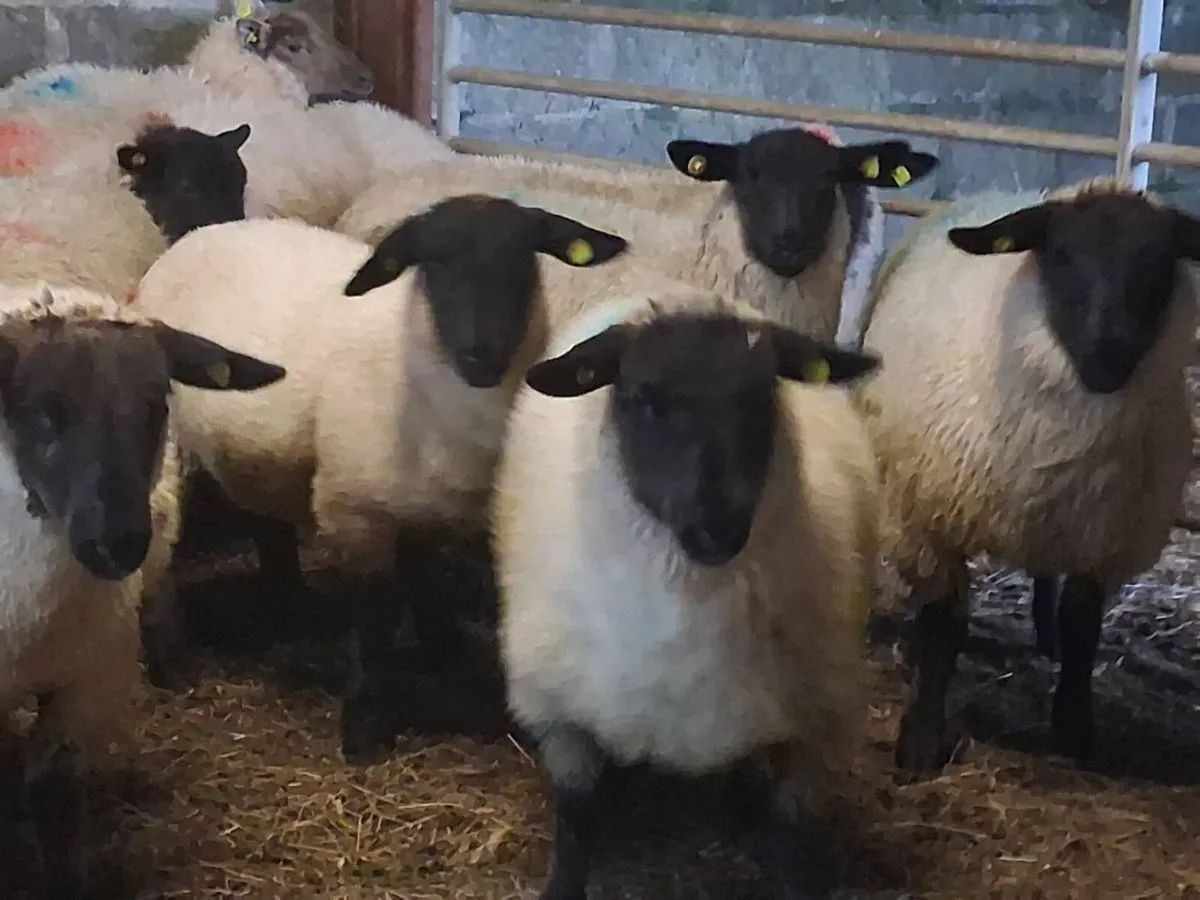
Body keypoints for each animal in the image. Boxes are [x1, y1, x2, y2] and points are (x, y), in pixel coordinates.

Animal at [129, 195, 629, 758]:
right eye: (434, 263)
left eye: (524, 257)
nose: (482, 354)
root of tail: (200, 234)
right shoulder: (354, 511)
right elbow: (374, 623)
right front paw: (364, 727)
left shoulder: (431, 511)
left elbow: (430, 588)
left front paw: (444, 656)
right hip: (172, 448)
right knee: (161, 540)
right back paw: (170, 660)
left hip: (260, 455)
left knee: (268, 527)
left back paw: (290, 611)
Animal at [492, 294, 882, 900]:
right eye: (642, 397)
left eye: (761, 395)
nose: (718, 526)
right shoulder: (559, 711)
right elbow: (575, 820)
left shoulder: (816, 723)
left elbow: (792, 835)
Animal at [857, 177, 1200, 774]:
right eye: (1059, 254)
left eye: (1161, 262)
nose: (1108, 354)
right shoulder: (928, 521)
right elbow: (942, 626)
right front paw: (920, 740)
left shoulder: (1104, 538)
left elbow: (1083, 629)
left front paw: (1076, 729)